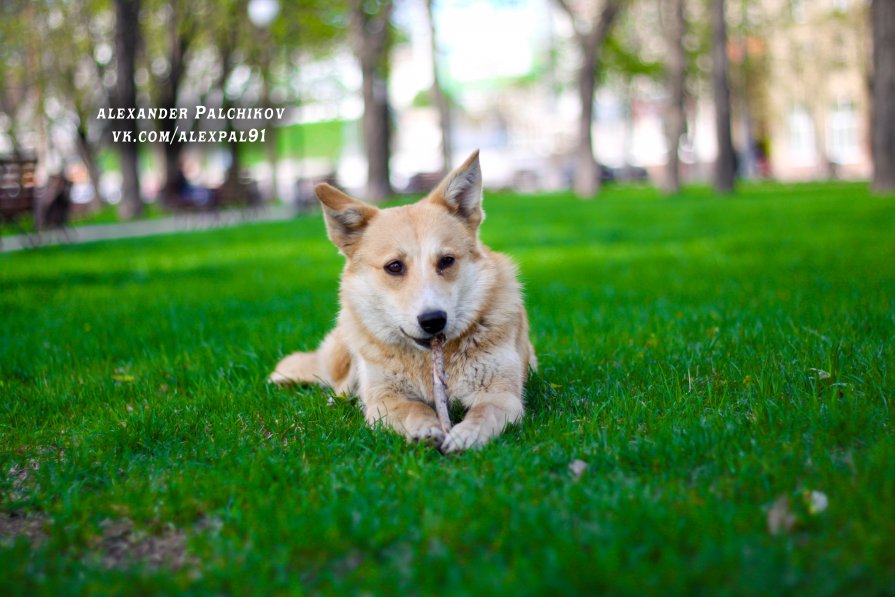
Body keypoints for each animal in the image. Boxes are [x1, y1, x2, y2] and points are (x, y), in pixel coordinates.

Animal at [270, 150, 536, 452]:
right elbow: (414, 409)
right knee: (339, 384)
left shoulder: (502, 394)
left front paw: (466, 435)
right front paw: (426, 428)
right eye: (394, 266)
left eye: (446, 261)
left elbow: (484, 412)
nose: (433, 320)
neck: (425, 361)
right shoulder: (385, 399)